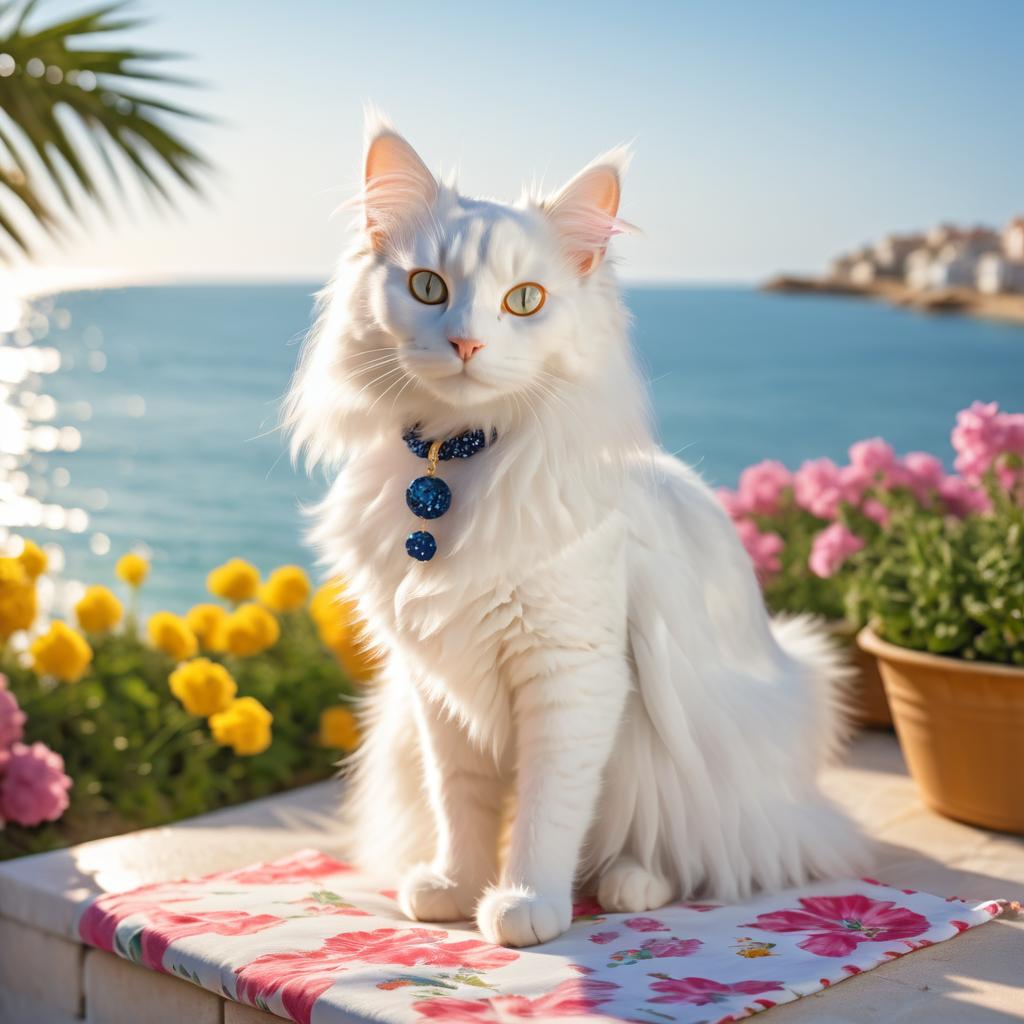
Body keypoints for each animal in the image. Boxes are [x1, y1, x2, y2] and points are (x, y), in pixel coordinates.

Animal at [284, 116, 868, 946]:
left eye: (524, 301)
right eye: (428, 287)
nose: (466, 343)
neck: (454, 466)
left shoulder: (572, 673)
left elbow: (547, 809)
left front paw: (526, 903)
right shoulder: (438, 686)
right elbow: (461, 802)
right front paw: (457, 886)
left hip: (692, 753)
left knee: (702, 851)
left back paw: (630, 882)